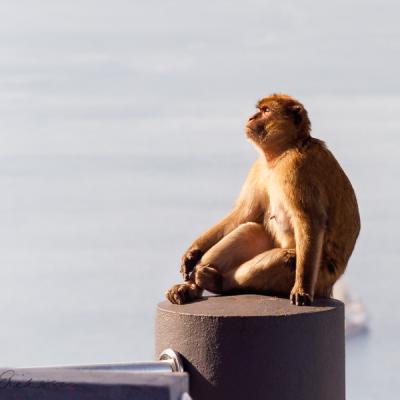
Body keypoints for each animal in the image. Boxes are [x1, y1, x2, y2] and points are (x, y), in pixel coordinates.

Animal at [164, 94, 360, 306]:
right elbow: (243, 213)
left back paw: (218, 282)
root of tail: (330, 287)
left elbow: (310, 220)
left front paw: (302, 289)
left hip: (322, 276)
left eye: (266, 111)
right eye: (259, 109)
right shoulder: (258, 167)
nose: (251, 117)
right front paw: (193, 252)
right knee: (248, 230)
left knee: (286, 259)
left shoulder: (298, 167)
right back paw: (191, 286)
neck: (282, 153)